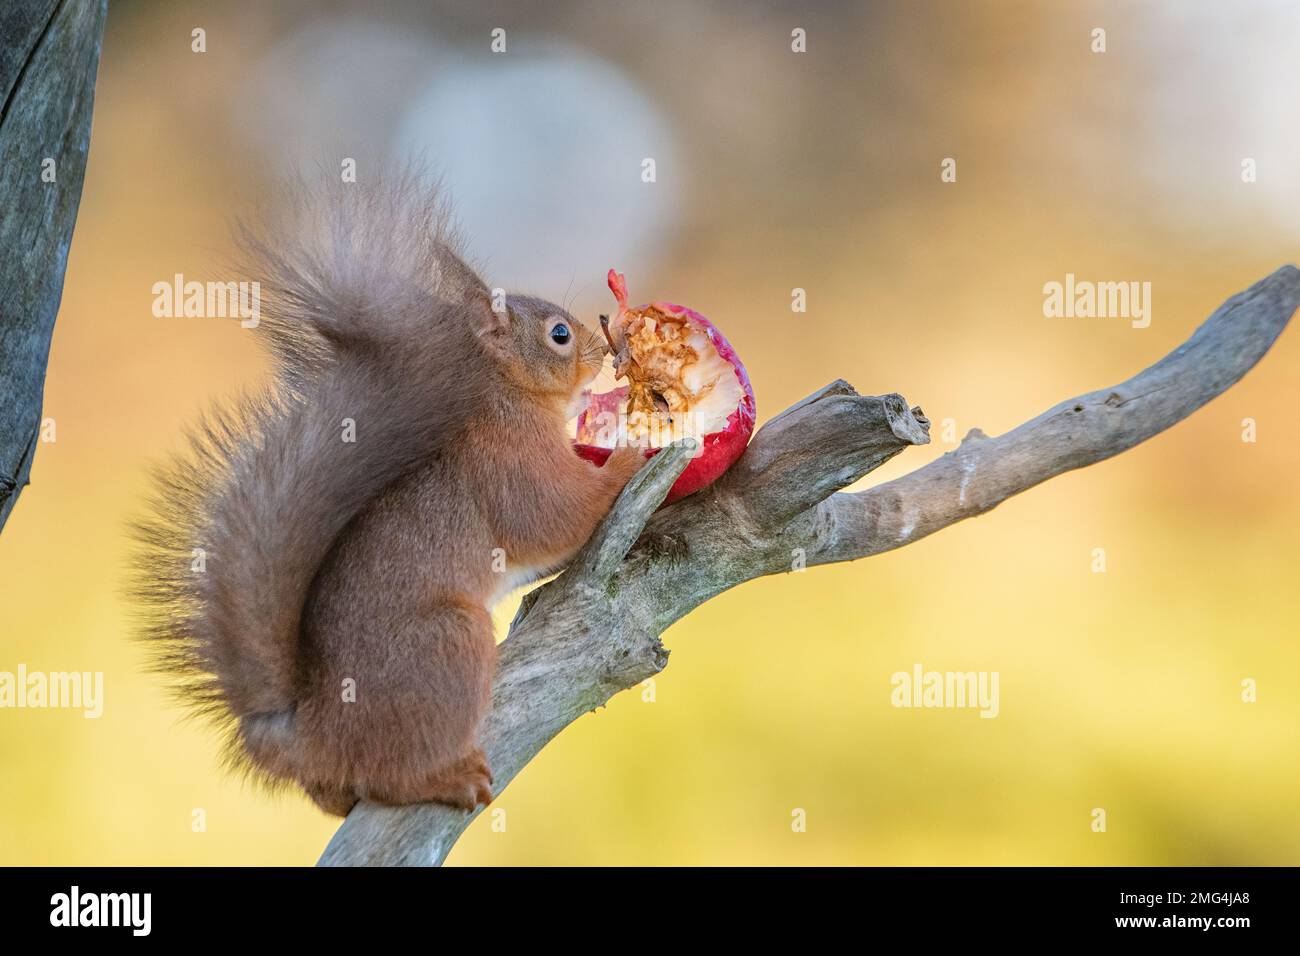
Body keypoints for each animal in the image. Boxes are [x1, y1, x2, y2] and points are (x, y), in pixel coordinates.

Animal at [129, 171, 647, 816]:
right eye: (558, 335)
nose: (605, 348)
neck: (502, 392)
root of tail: (307, 736)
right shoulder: (508, 461)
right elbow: (553, 516)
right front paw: (630, 455)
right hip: (447, 647)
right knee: (392, 774)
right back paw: (446, 778)